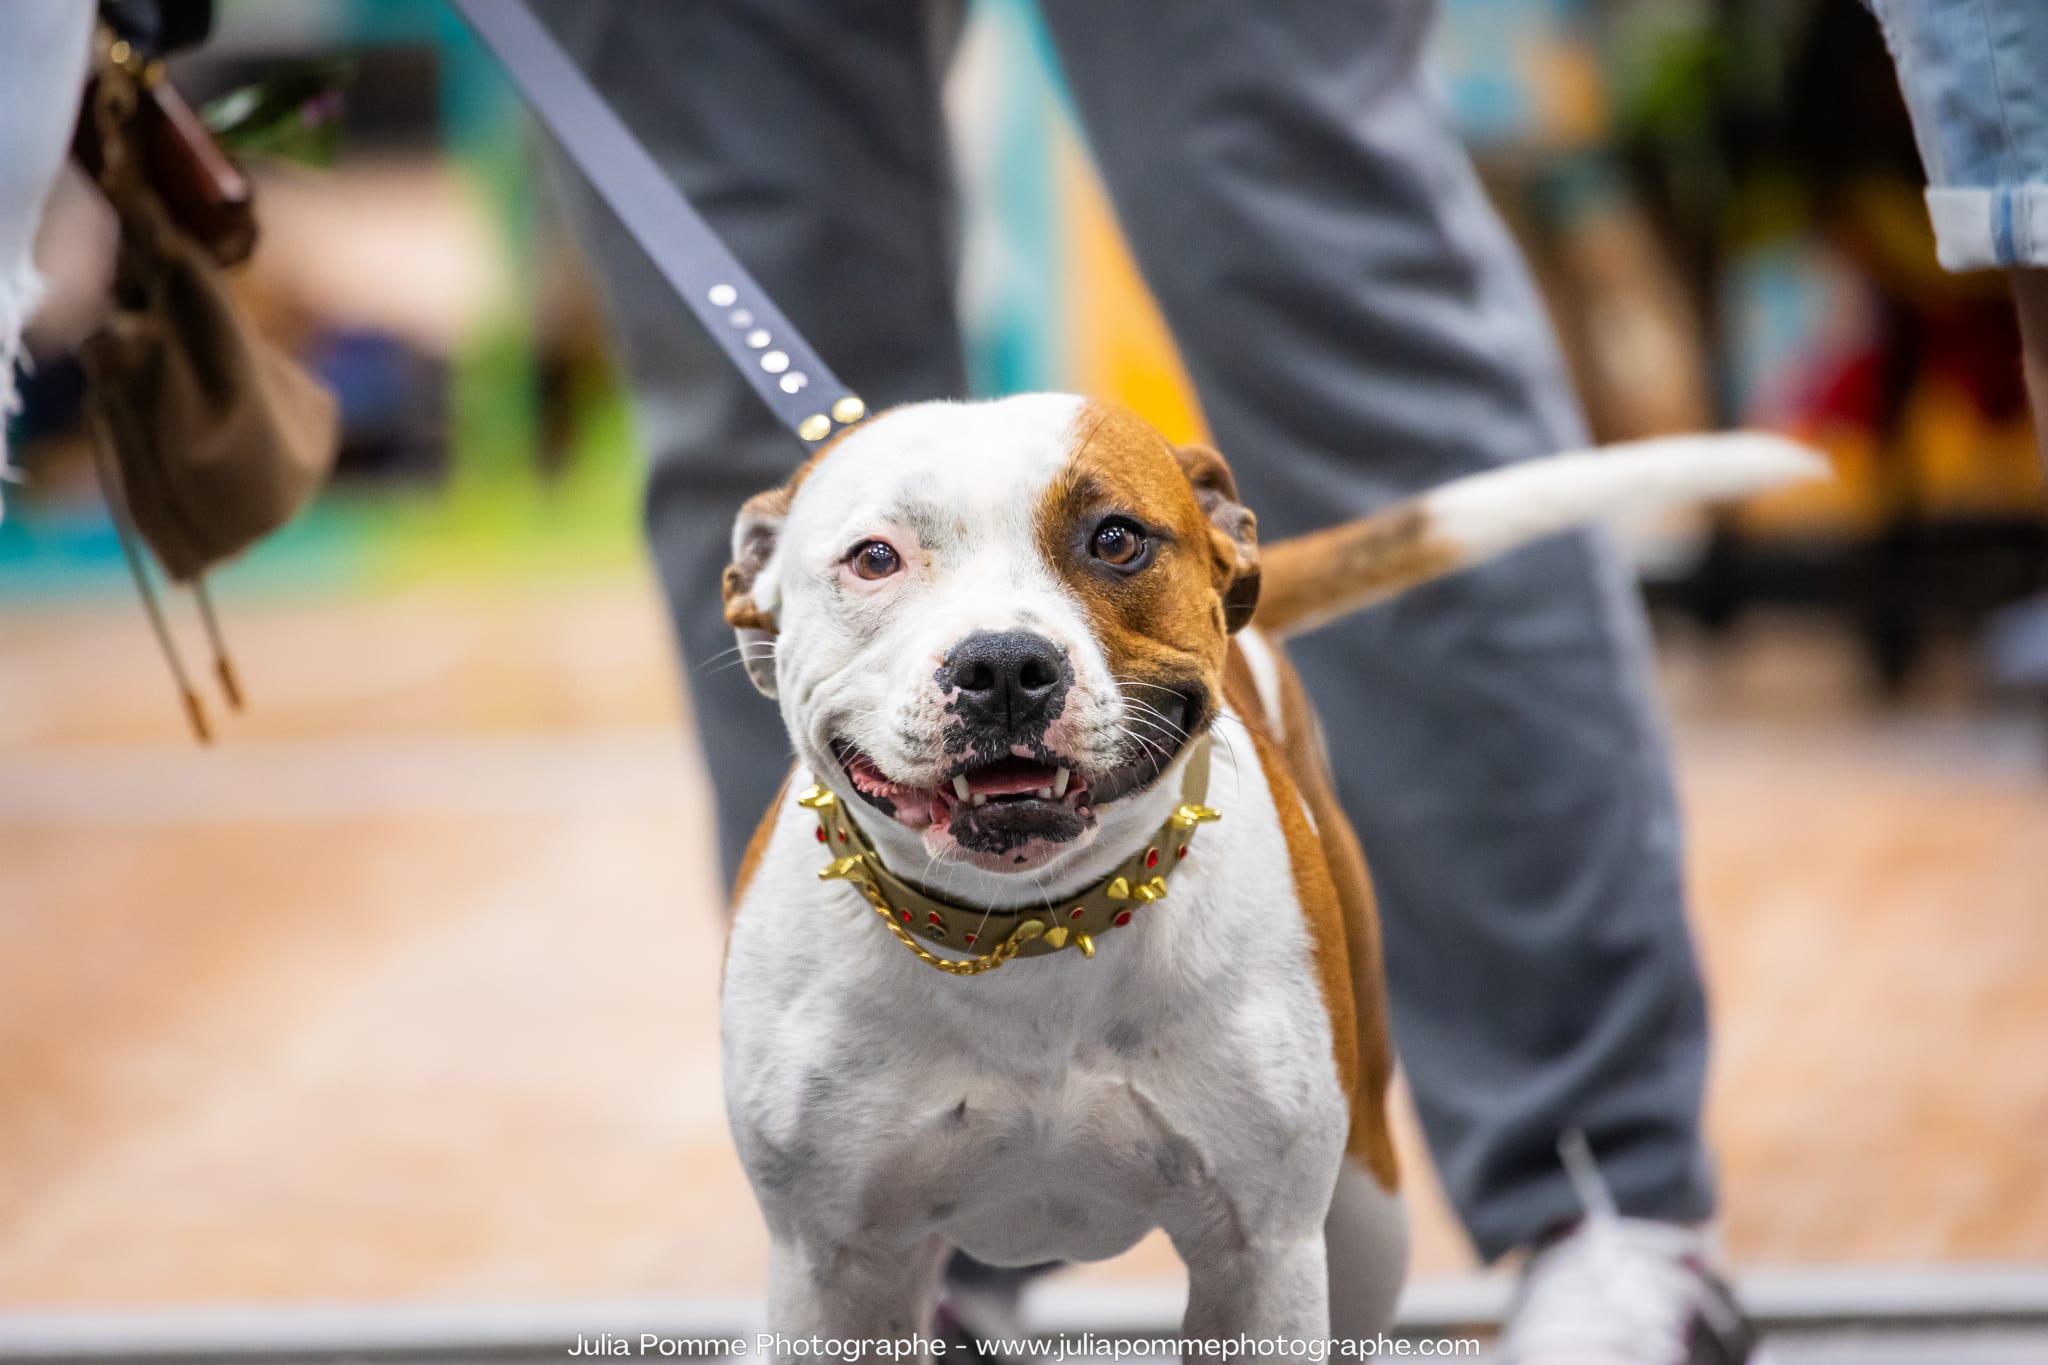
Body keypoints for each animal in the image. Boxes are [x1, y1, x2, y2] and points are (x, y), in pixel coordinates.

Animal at [720, 397, 1826, 1358]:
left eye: (1115, 540)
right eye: (873, 558)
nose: (1001, 665)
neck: (1031, 934)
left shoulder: (1261, 1256)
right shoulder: (834, 1268)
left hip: (1367, 1208)